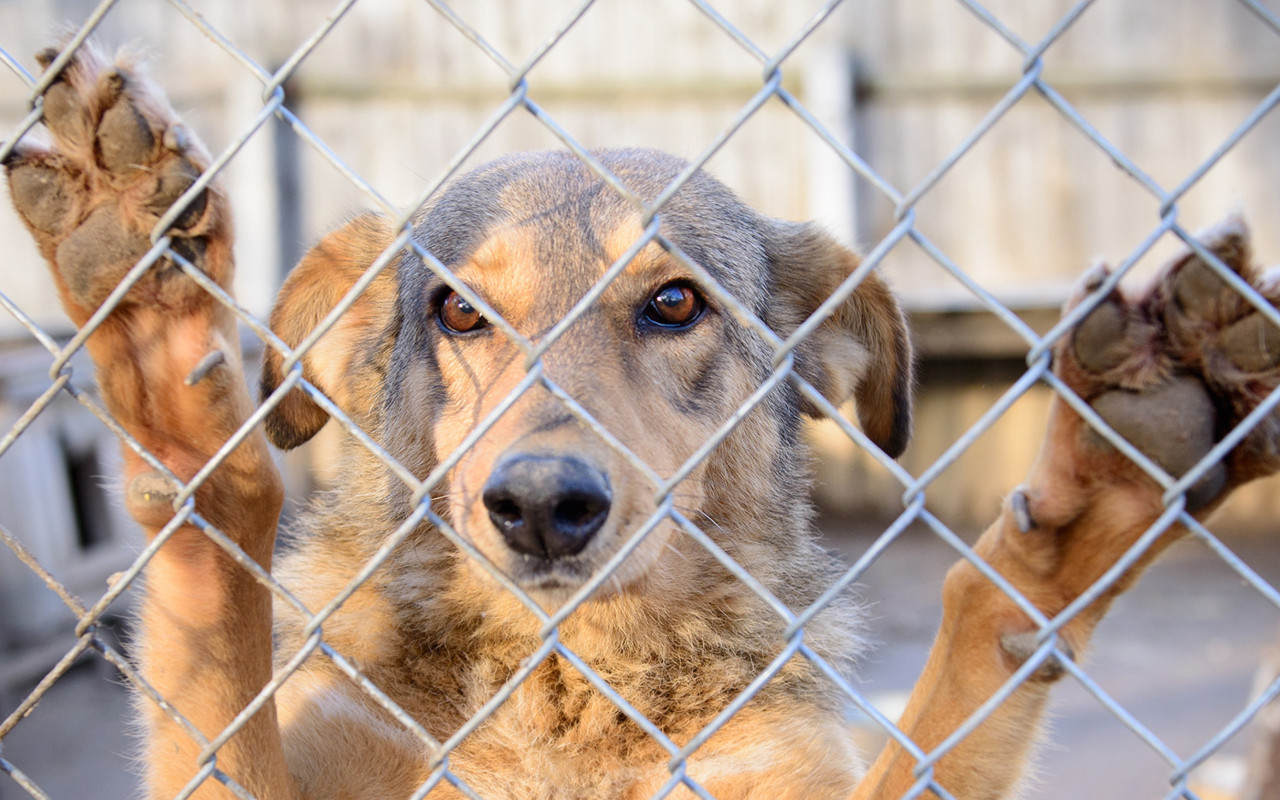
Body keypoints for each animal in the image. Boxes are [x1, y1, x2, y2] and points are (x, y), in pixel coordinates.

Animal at [2, 45, 1280, 798]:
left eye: (673, 302)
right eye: (457, 309)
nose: (539, 505)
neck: (570, 684)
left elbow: (961, 688)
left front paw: (1095, 498)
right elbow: (212, 618)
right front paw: (164, 350)